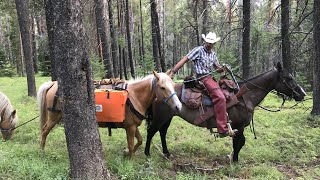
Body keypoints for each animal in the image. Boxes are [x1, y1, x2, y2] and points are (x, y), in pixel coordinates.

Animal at [37, 71, 182, 158]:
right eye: (162, 87)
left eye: (173, 85)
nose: (178, 106)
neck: (134, 97)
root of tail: (53, 83)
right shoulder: (130, 127)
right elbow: (131, 144)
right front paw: (130, 159)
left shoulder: (133, 126)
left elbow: (140, 141)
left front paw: (126, 153)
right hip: (54, 116)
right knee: (44, 131)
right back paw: (42, 150)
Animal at [144, 63, 304, 162]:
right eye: (289, 78)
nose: (302, 94)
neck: (245, 96)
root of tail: (155, 91)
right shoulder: (239, 126)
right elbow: (238, 143)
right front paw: (235, 160)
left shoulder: (239, 127)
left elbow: (240, 143)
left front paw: (234, 159)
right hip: (160, 117)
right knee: (151, 131)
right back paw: (147, 154)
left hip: (168, 117)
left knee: (162, 132)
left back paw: (167, 153)